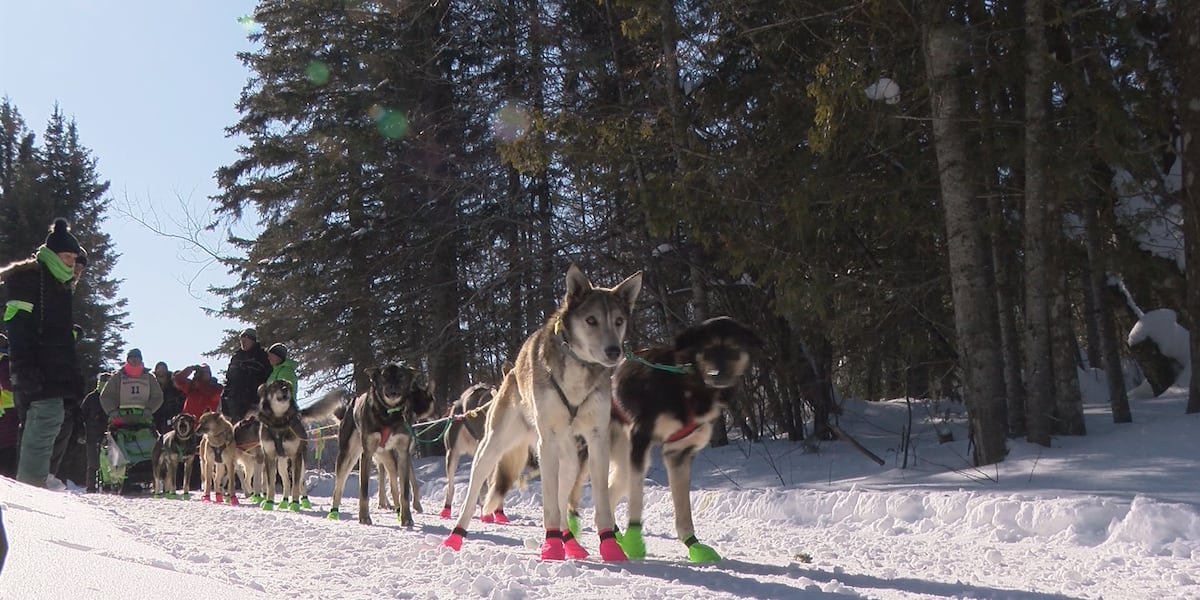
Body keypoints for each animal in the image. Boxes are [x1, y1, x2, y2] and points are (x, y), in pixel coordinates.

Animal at [441, 264, 643, 561]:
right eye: (591, 320)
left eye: (618, 321)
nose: (614, 351)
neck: (578, 369)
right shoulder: (547, 440)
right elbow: (549, 503)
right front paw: (551, 546)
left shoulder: (597, 439)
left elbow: (599, 501)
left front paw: (610, 545)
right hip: (493, 447)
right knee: (475, 489)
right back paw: (455, 536)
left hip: (569, 460)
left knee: (562, 494)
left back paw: (570, 542)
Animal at [614, 319, 763, 561]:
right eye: (708, 349)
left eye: (732, 349)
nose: (715, 374)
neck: (687, 386)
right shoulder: (641, 438)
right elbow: (636, 498)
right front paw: (634, 541)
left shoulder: (679, 454)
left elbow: (684, 510)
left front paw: (693, 545)